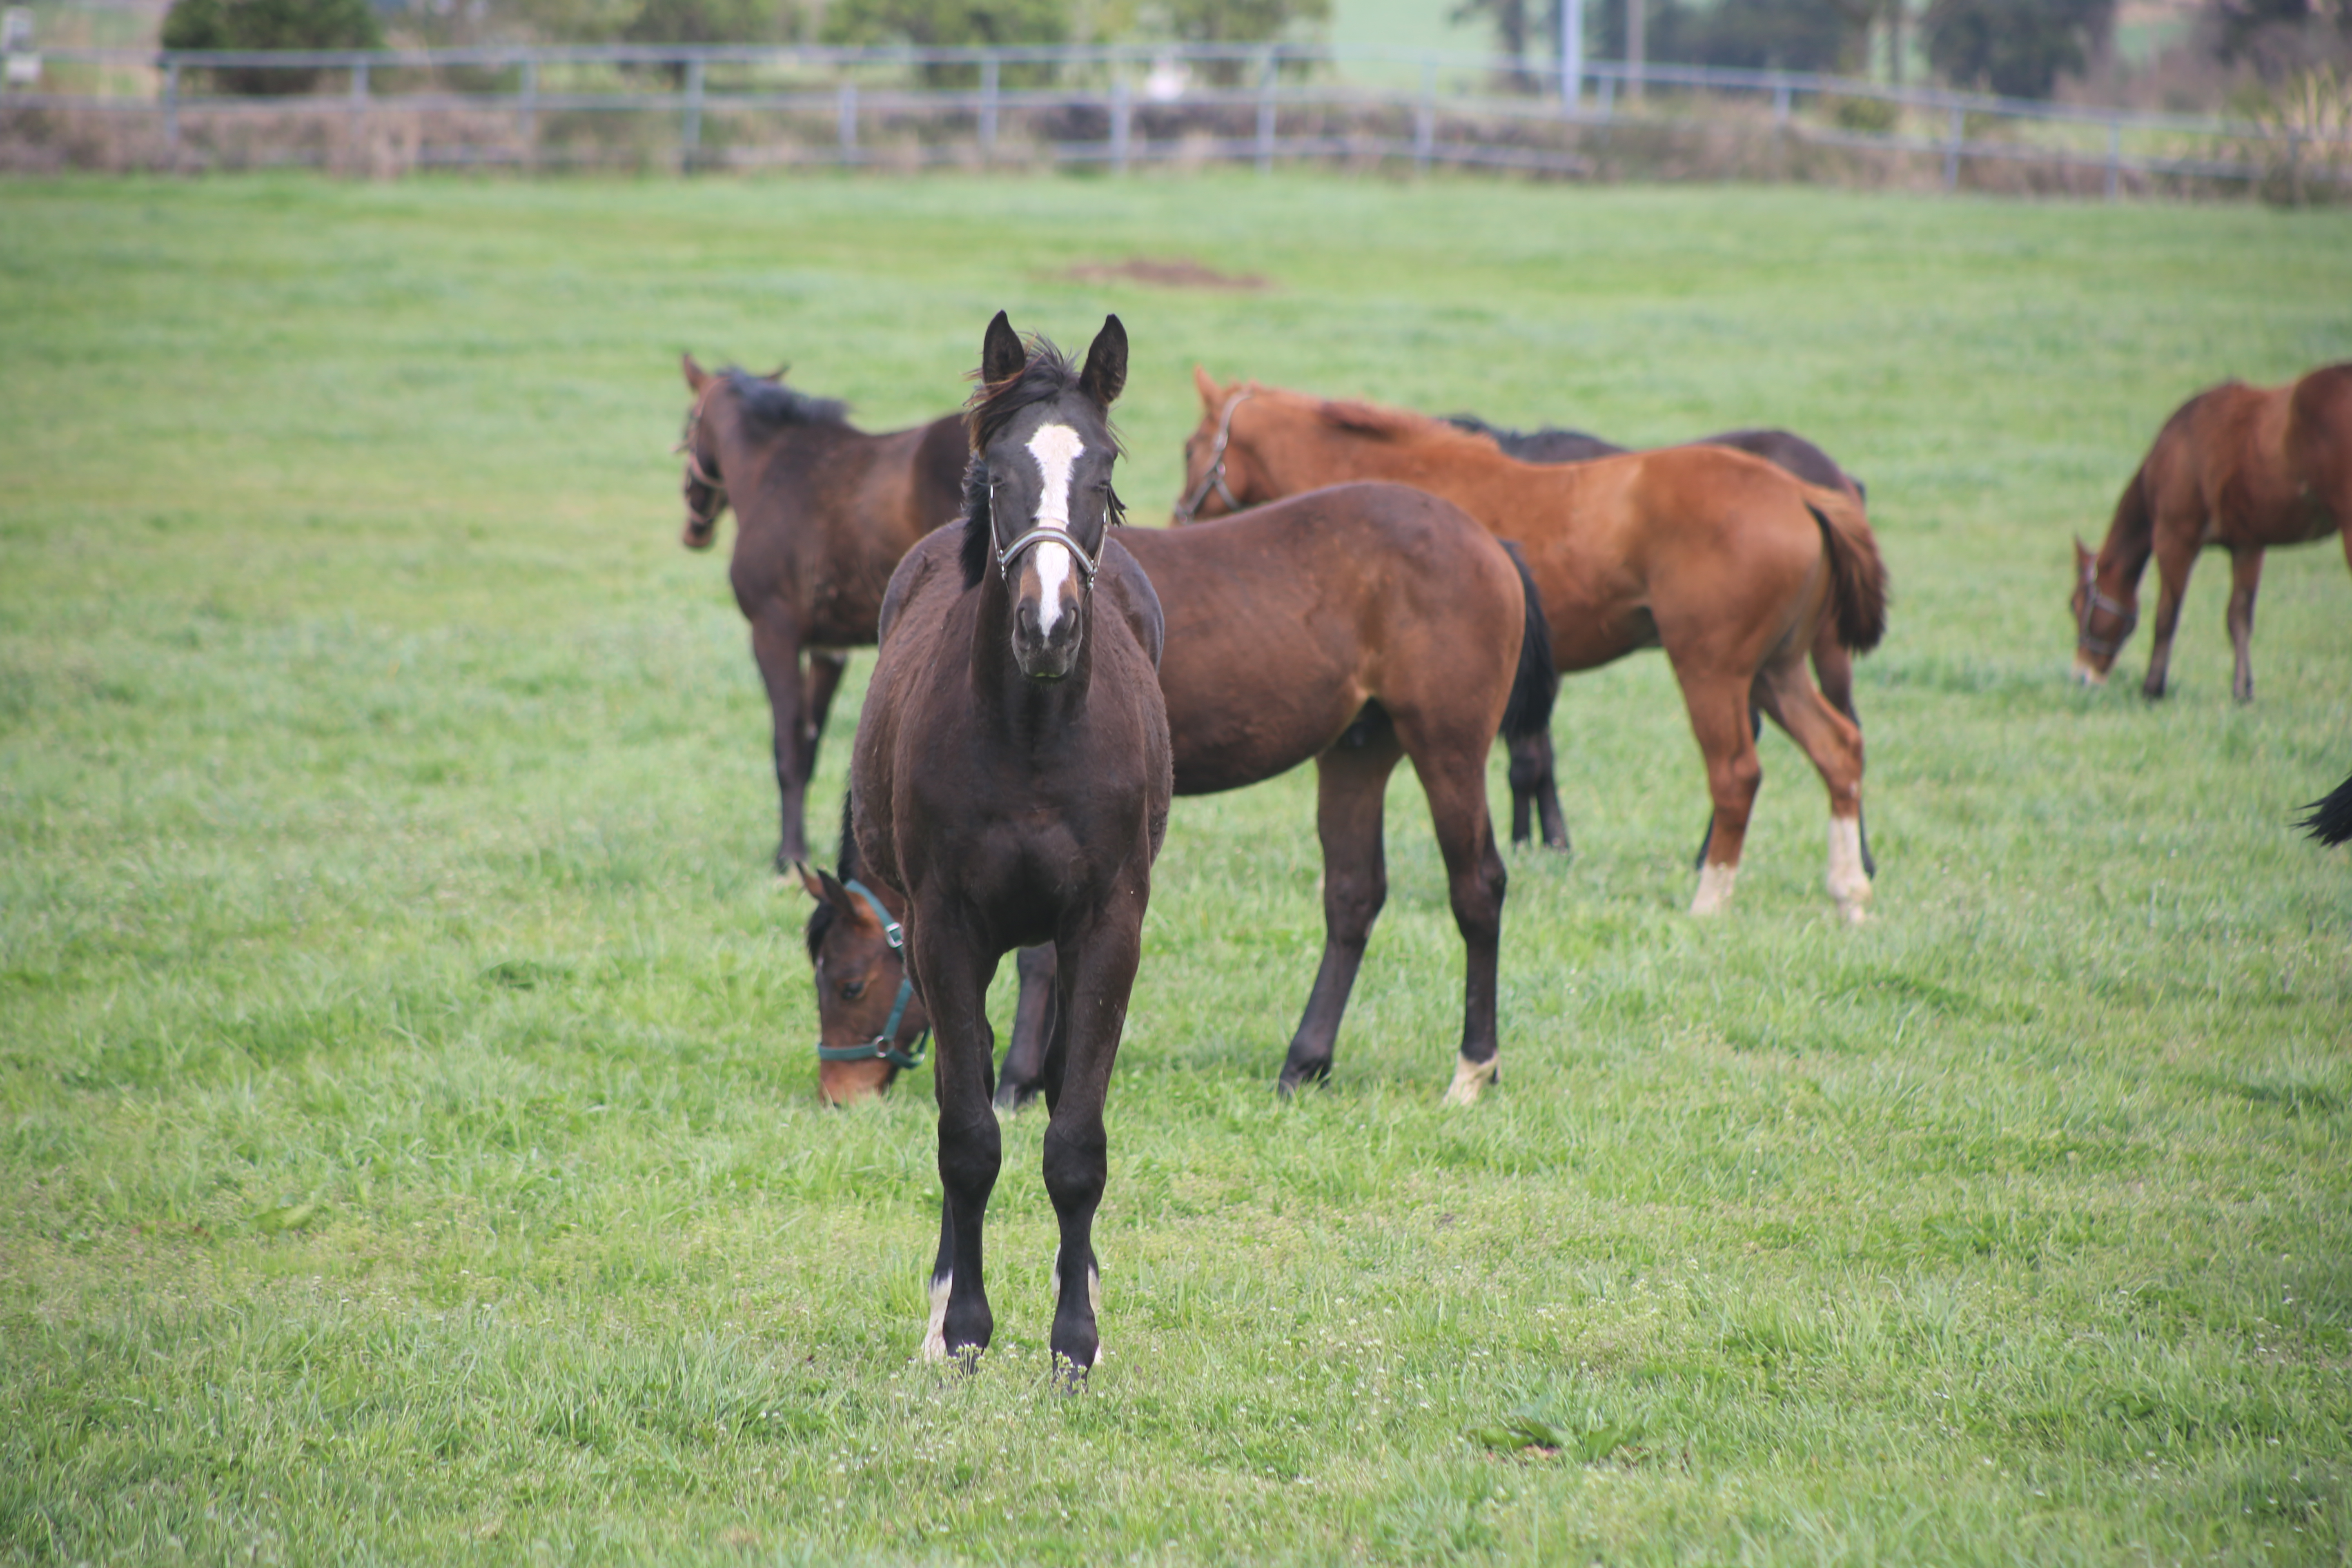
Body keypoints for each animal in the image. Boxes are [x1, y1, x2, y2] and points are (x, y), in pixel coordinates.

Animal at [677, 357, 969, 870]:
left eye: (690, 423)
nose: (694, 529)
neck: (772, 470)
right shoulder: (829, 648)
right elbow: (811, 744)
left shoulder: (773, 634)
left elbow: (788, 748)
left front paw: (789, 855)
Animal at [800, 474, 1552, 1105]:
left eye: (850, 984)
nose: (839, 1094)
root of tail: (1490, 542)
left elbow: (1039, 959)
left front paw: (1019, 1080)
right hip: (1357, 753)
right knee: (1352, 897)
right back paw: (1304, 1063)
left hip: (1447, 749)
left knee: (1478, 889)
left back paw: (1472, 1069)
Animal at [851, 312, 1171, 1382]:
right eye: (994, 475)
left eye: (1103, 474)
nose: (1048, 625)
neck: (1033, 732)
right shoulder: (944, 927)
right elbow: (966, 1137)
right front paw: (961, 1328)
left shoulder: (1109, 925)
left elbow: (1075, 1142)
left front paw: (1076, 1340)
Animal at [1176, 374, 1891, 926]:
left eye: (1190, 448)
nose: (1177, 517)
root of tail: (1803, 493)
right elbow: (1533, 765)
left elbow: (1522, 768)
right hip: (1776, 672)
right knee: (1839, 749)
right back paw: (1850, 891)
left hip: (1712, 672)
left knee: (1737, 773)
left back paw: (1710, 897)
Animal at [2079, 362, 2352, 705]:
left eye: (2076, 605)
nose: (2082, 674)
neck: (2174, 447)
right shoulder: (2248, 545)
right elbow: (2239, 619)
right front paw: (2243, 691)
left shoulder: (2174, 537)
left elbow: (2166, 615)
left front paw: (2153, 688)